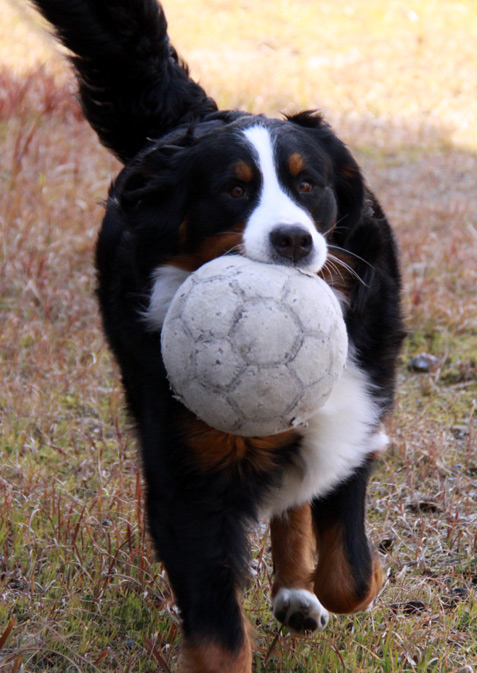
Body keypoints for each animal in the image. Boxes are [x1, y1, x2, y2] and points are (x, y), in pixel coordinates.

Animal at [30, 2, 402, 668]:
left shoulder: (357, 415)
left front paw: (320, 584)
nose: (293, 239)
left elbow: (351, 574)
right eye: (234, 189)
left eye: (308, 184)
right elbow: (218, 633)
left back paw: (297, 593)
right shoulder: (187, 475)